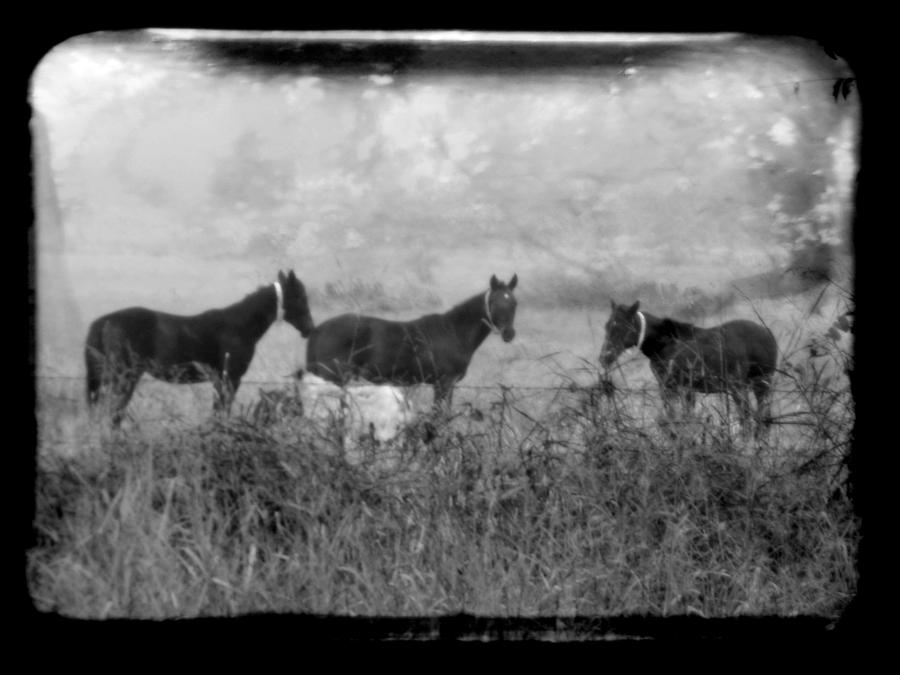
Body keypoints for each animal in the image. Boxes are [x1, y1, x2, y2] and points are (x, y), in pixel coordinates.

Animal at [85, 270, 316, 428]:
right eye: (300, 297)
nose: (309, 328)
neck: (238, 326)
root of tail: (105, 321)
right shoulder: (230, 378)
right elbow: (222, 410)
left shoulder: (220, 380)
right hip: (124, 376)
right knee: (112, 411)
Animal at [300, 274, 516, 412]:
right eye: (494, 302)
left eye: (514, 302)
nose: (509, 334)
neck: (453, 332)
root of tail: (317, 330)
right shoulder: (444, 383)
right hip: (331, 377)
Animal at [600, 298, 776, 436]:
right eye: (607, 326)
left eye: (622, 326)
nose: (604, 358)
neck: (666, 343)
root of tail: (768, 334)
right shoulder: (682, 389)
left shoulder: (673, 387)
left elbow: (677, 419)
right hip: (758, 386)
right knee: (762, 419)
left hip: (745, 386)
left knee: (748, 418)